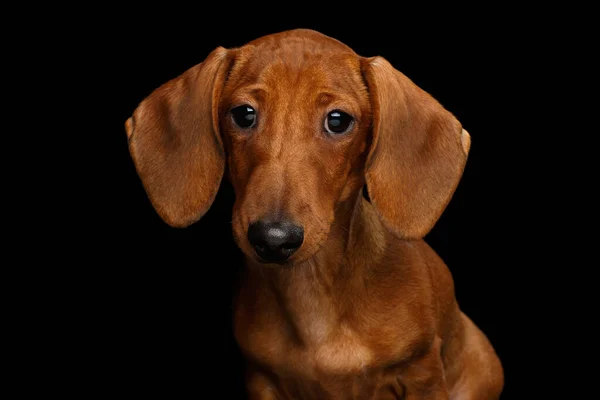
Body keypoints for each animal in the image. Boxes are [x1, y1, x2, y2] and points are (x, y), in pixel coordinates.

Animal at [124, 28, 504, 400]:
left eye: (338, 120)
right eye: (244, 114)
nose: (273, 239)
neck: (312, 293)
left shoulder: (421, 374)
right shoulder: (262, 379)